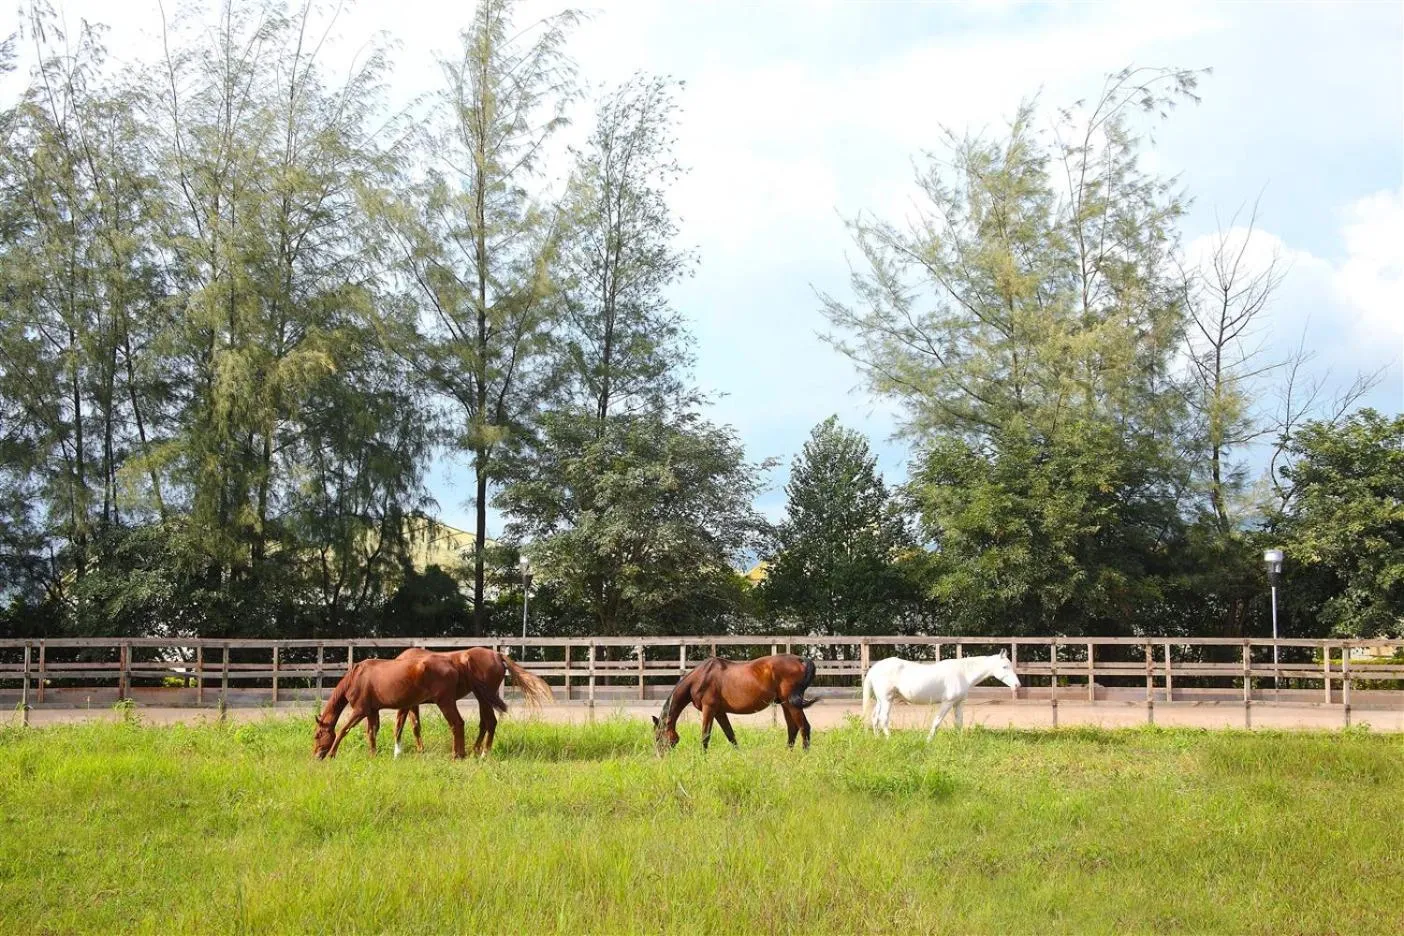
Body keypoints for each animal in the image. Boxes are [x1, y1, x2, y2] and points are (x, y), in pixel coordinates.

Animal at [313, 647, 554, 759]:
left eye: (317, 735)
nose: (315, 755)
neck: (357, 676)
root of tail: (497, 655)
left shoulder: (361, 709)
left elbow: (344, 730)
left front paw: (332, 753)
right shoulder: (377, 710)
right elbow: (378, 731)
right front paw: (379, 754)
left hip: (454, 701)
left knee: (466, 724)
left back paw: (467, 754)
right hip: (480, 697)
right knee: (484, 723)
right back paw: (472, 751)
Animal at [653, 654, 818, 751]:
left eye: (659, 736)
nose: (661, 757)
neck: (701, 677)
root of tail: (800, 660)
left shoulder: (709, 709)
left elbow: (705, 735)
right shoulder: (719, 712)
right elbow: (730, 735)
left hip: (791, 704)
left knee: (804, 727)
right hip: (785, 704)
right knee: (792, 729)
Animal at [862, 650, 1021, 740]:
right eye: (1004, 667)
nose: (1017, 685)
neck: (963, 673)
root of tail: (875, 668)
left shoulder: (958, 703)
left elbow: (959, 723)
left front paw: (960, 741)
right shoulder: (947, 703)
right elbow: (936, 722)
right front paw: (928, 740)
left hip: (880, 700)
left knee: (875, 718)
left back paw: (877, 738)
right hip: (887, 699)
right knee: (883, 718)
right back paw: (889, 739)